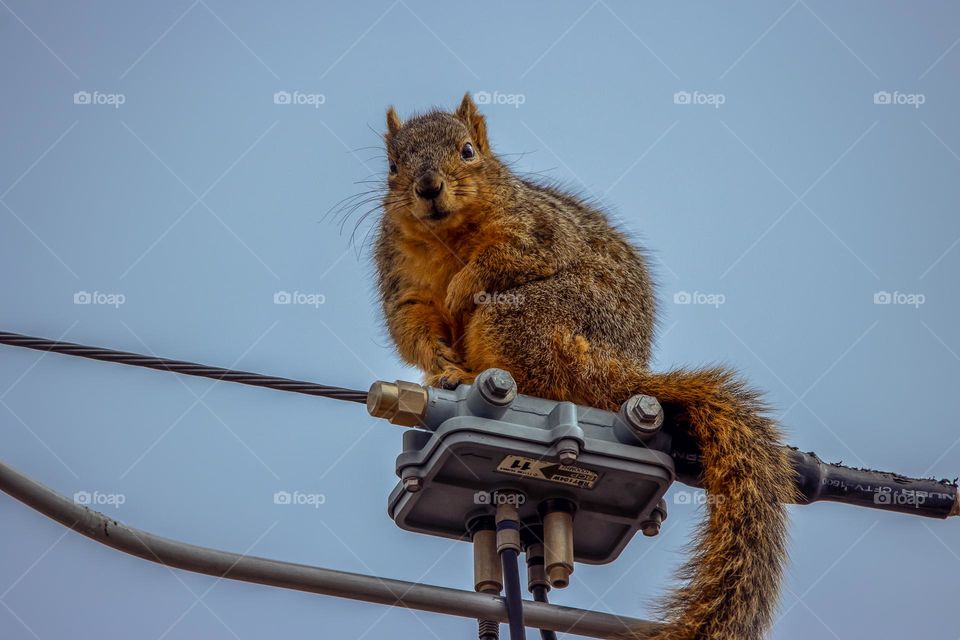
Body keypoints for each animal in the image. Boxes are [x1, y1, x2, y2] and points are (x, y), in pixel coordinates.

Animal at [372, 94, 800, 640]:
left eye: (468, 151)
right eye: (392, 166)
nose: (427, 187)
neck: (448, 233)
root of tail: (614, 371)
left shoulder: (537, 232)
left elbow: (504, 259)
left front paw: (462, 287)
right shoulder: (402, 281)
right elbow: (414, 326)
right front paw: (438, 361)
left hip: (523, 317)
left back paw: (475, 377)